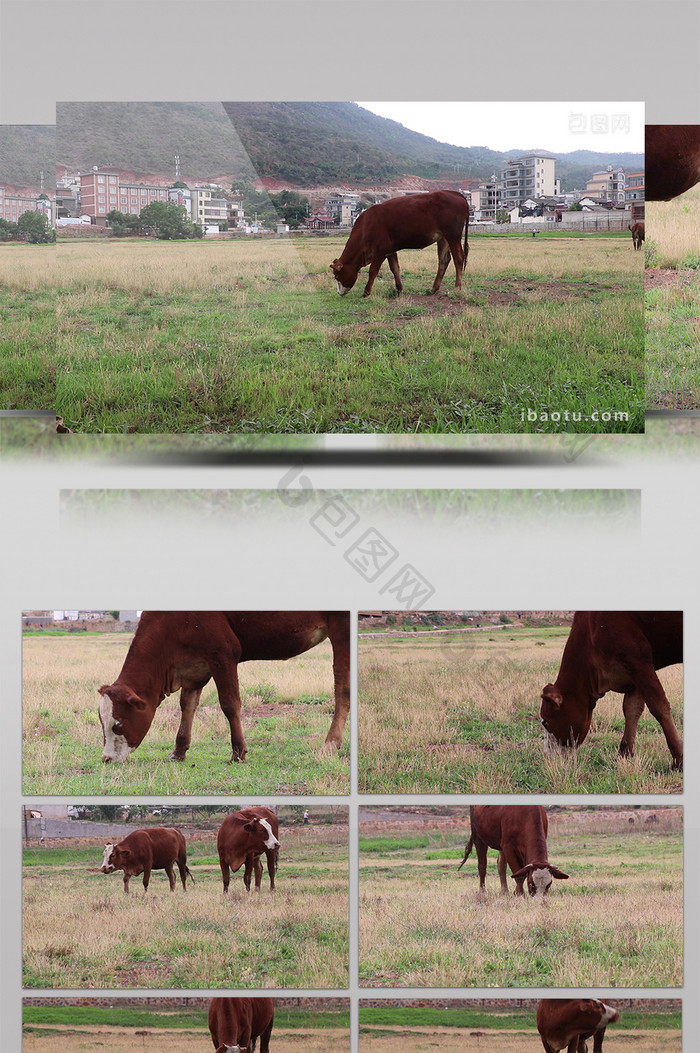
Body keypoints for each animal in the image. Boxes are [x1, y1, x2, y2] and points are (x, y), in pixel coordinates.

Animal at [98, 610, 349, 766]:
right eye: (102, 724)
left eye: (118, 725)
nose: (106, 758)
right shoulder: (195, 666)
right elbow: (187, 706)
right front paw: (179, 751)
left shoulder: (223, 654)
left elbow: (230, 704)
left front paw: (238, 753)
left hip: (342, 626)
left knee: (342, 687)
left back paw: (330, 744)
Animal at [328, 188, 469, 294]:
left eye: (336, 276)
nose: (339, 292)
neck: (366, 225)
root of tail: (456, 194)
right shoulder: (390, 250)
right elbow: (395, 268)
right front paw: (399, 289)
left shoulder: (380, 250)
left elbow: (373, 270)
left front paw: (366, 292)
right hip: (443, 238)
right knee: (444, 260)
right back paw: (434, 288)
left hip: (453, 236)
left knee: (458, 259)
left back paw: (457, 287)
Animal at [538, 610, 682, 775]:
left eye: (546, 721)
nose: (546, 754)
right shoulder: (633, 668)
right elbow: (632, 709)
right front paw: (624, 754)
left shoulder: (636, 656)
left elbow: (659, 706)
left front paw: (678, 759)